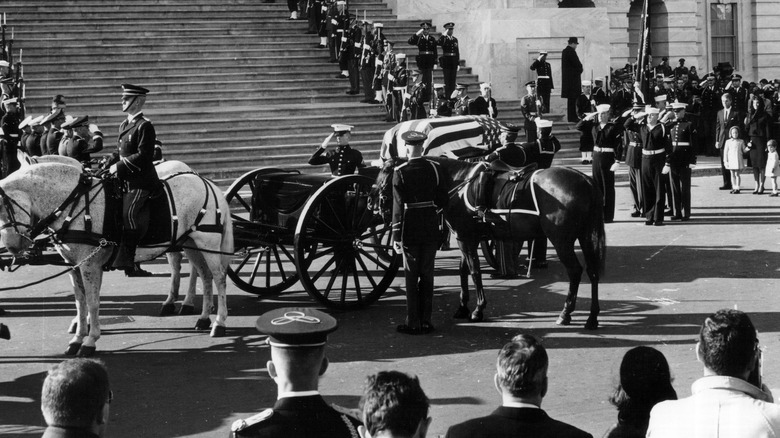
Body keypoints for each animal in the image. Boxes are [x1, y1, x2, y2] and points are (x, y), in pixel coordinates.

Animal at [0, 161, 232, 356]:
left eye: (3, 209)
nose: (12, 246)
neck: (75, 205)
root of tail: (206, 182)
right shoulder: (74, 266)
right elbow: (80, 303)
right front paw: (77, 338)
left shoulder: (90, 265)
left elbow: (92, 302)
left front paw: (90, 340)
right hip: (191, 243)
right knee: (204, 275)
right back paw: (202, 317)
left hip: (207, 243)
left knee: (219, 278)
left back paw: (219, 322)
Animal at [374, 157, 608, 328]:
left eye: (385, 174)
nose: (377, 206)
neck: (459, 184)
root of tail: (586, 180)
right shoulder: (466, 237)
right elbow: (464, 270)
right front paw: (463, 307)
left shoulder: (465, 239)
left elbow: (475, 271)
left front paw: (478, 309)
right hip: (586, 237)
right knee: (593, 272)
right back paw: (592, 317)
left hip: (562, 241)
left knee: (575, 271)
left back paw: (565, 313)